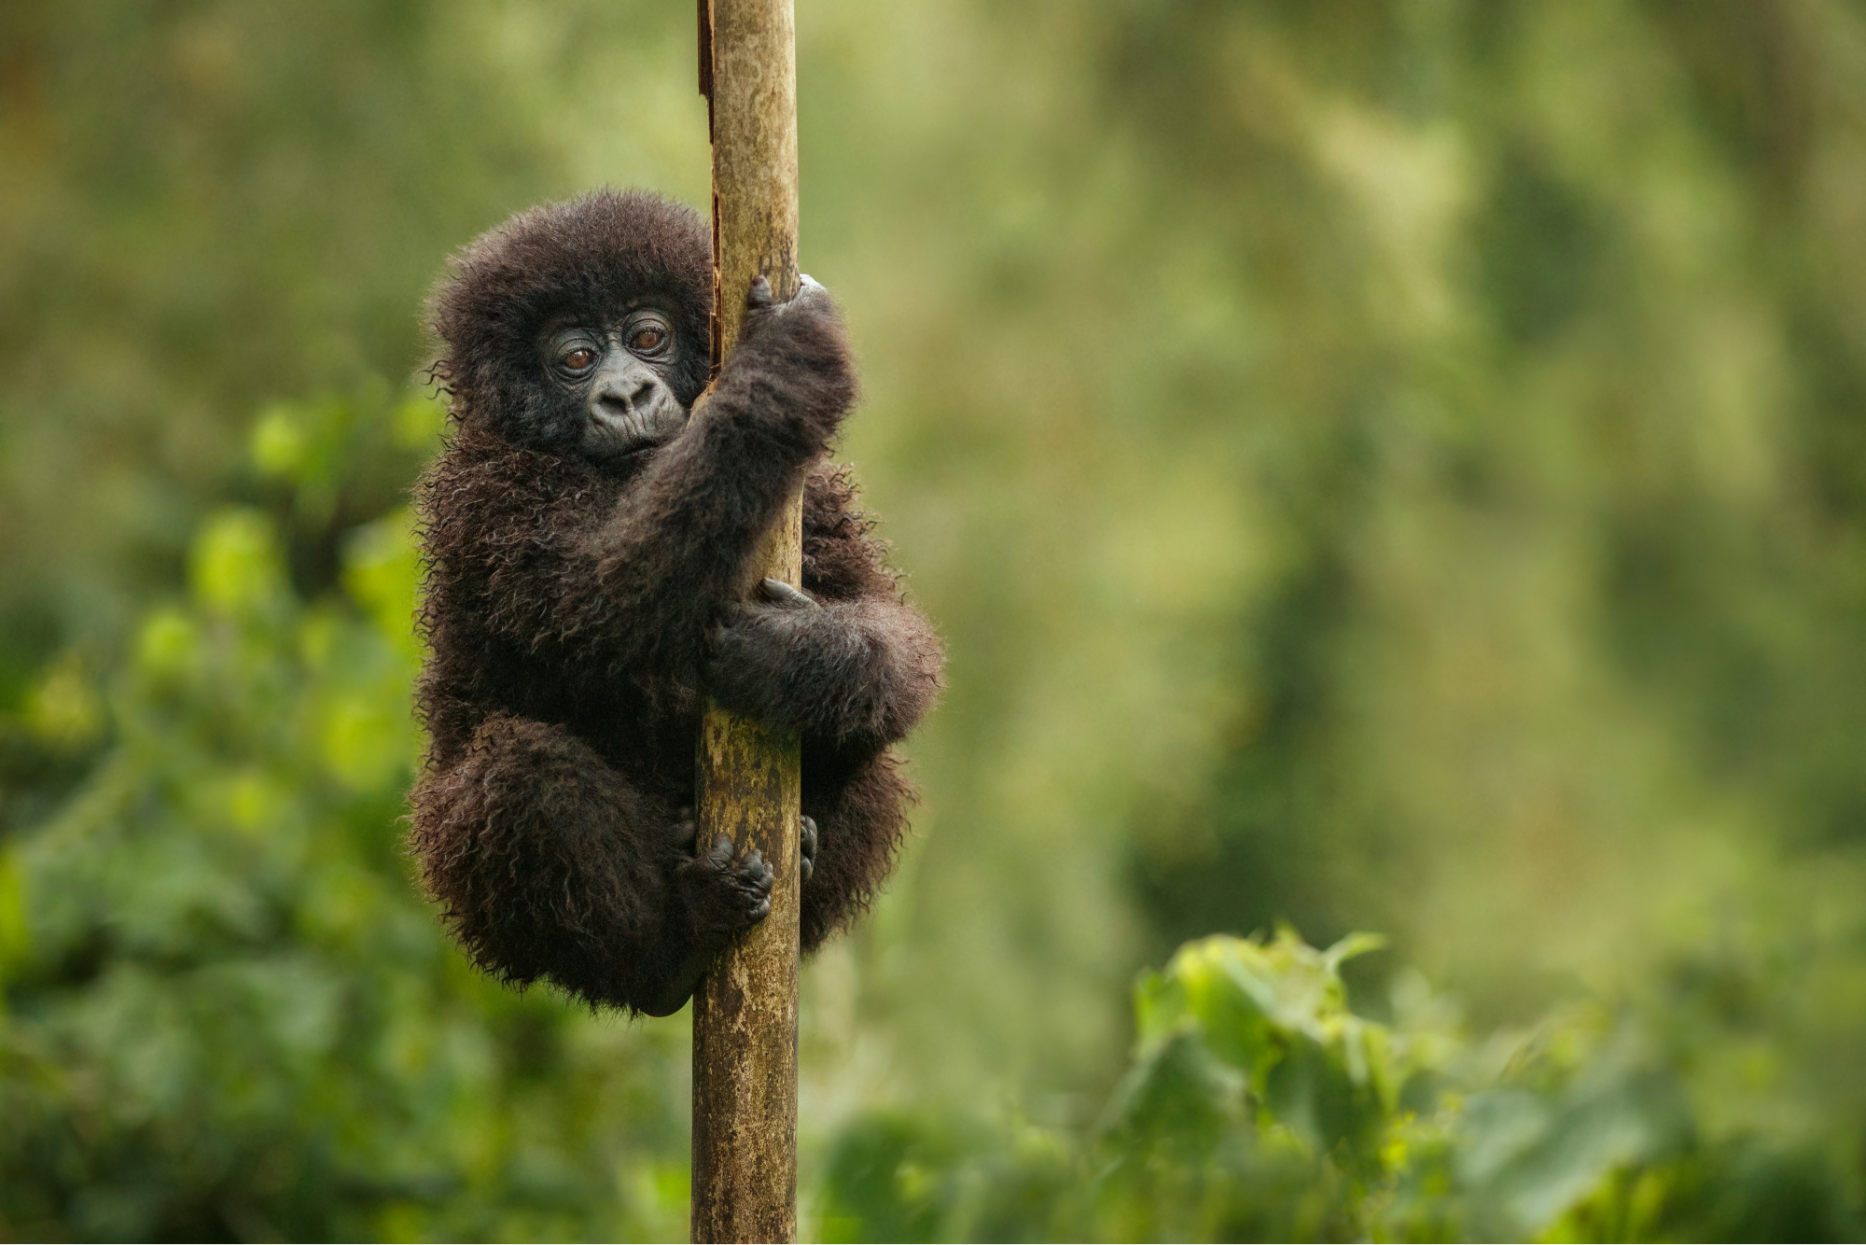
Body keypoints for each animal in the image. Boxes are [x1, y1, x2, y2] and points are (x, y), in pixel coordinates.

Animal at [403, 192, 940, 1015]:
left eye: (649, 337)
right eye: (575, 358)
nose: (627, 394)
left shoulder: (814, 493)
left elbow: (892, 635)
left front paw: (795, 658)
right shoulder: (483, 498)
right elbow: (602, 601)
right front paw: (783, 366)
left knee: (875, 760)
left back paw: (803, 847)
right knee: (520, 777)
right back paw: (673, 948)